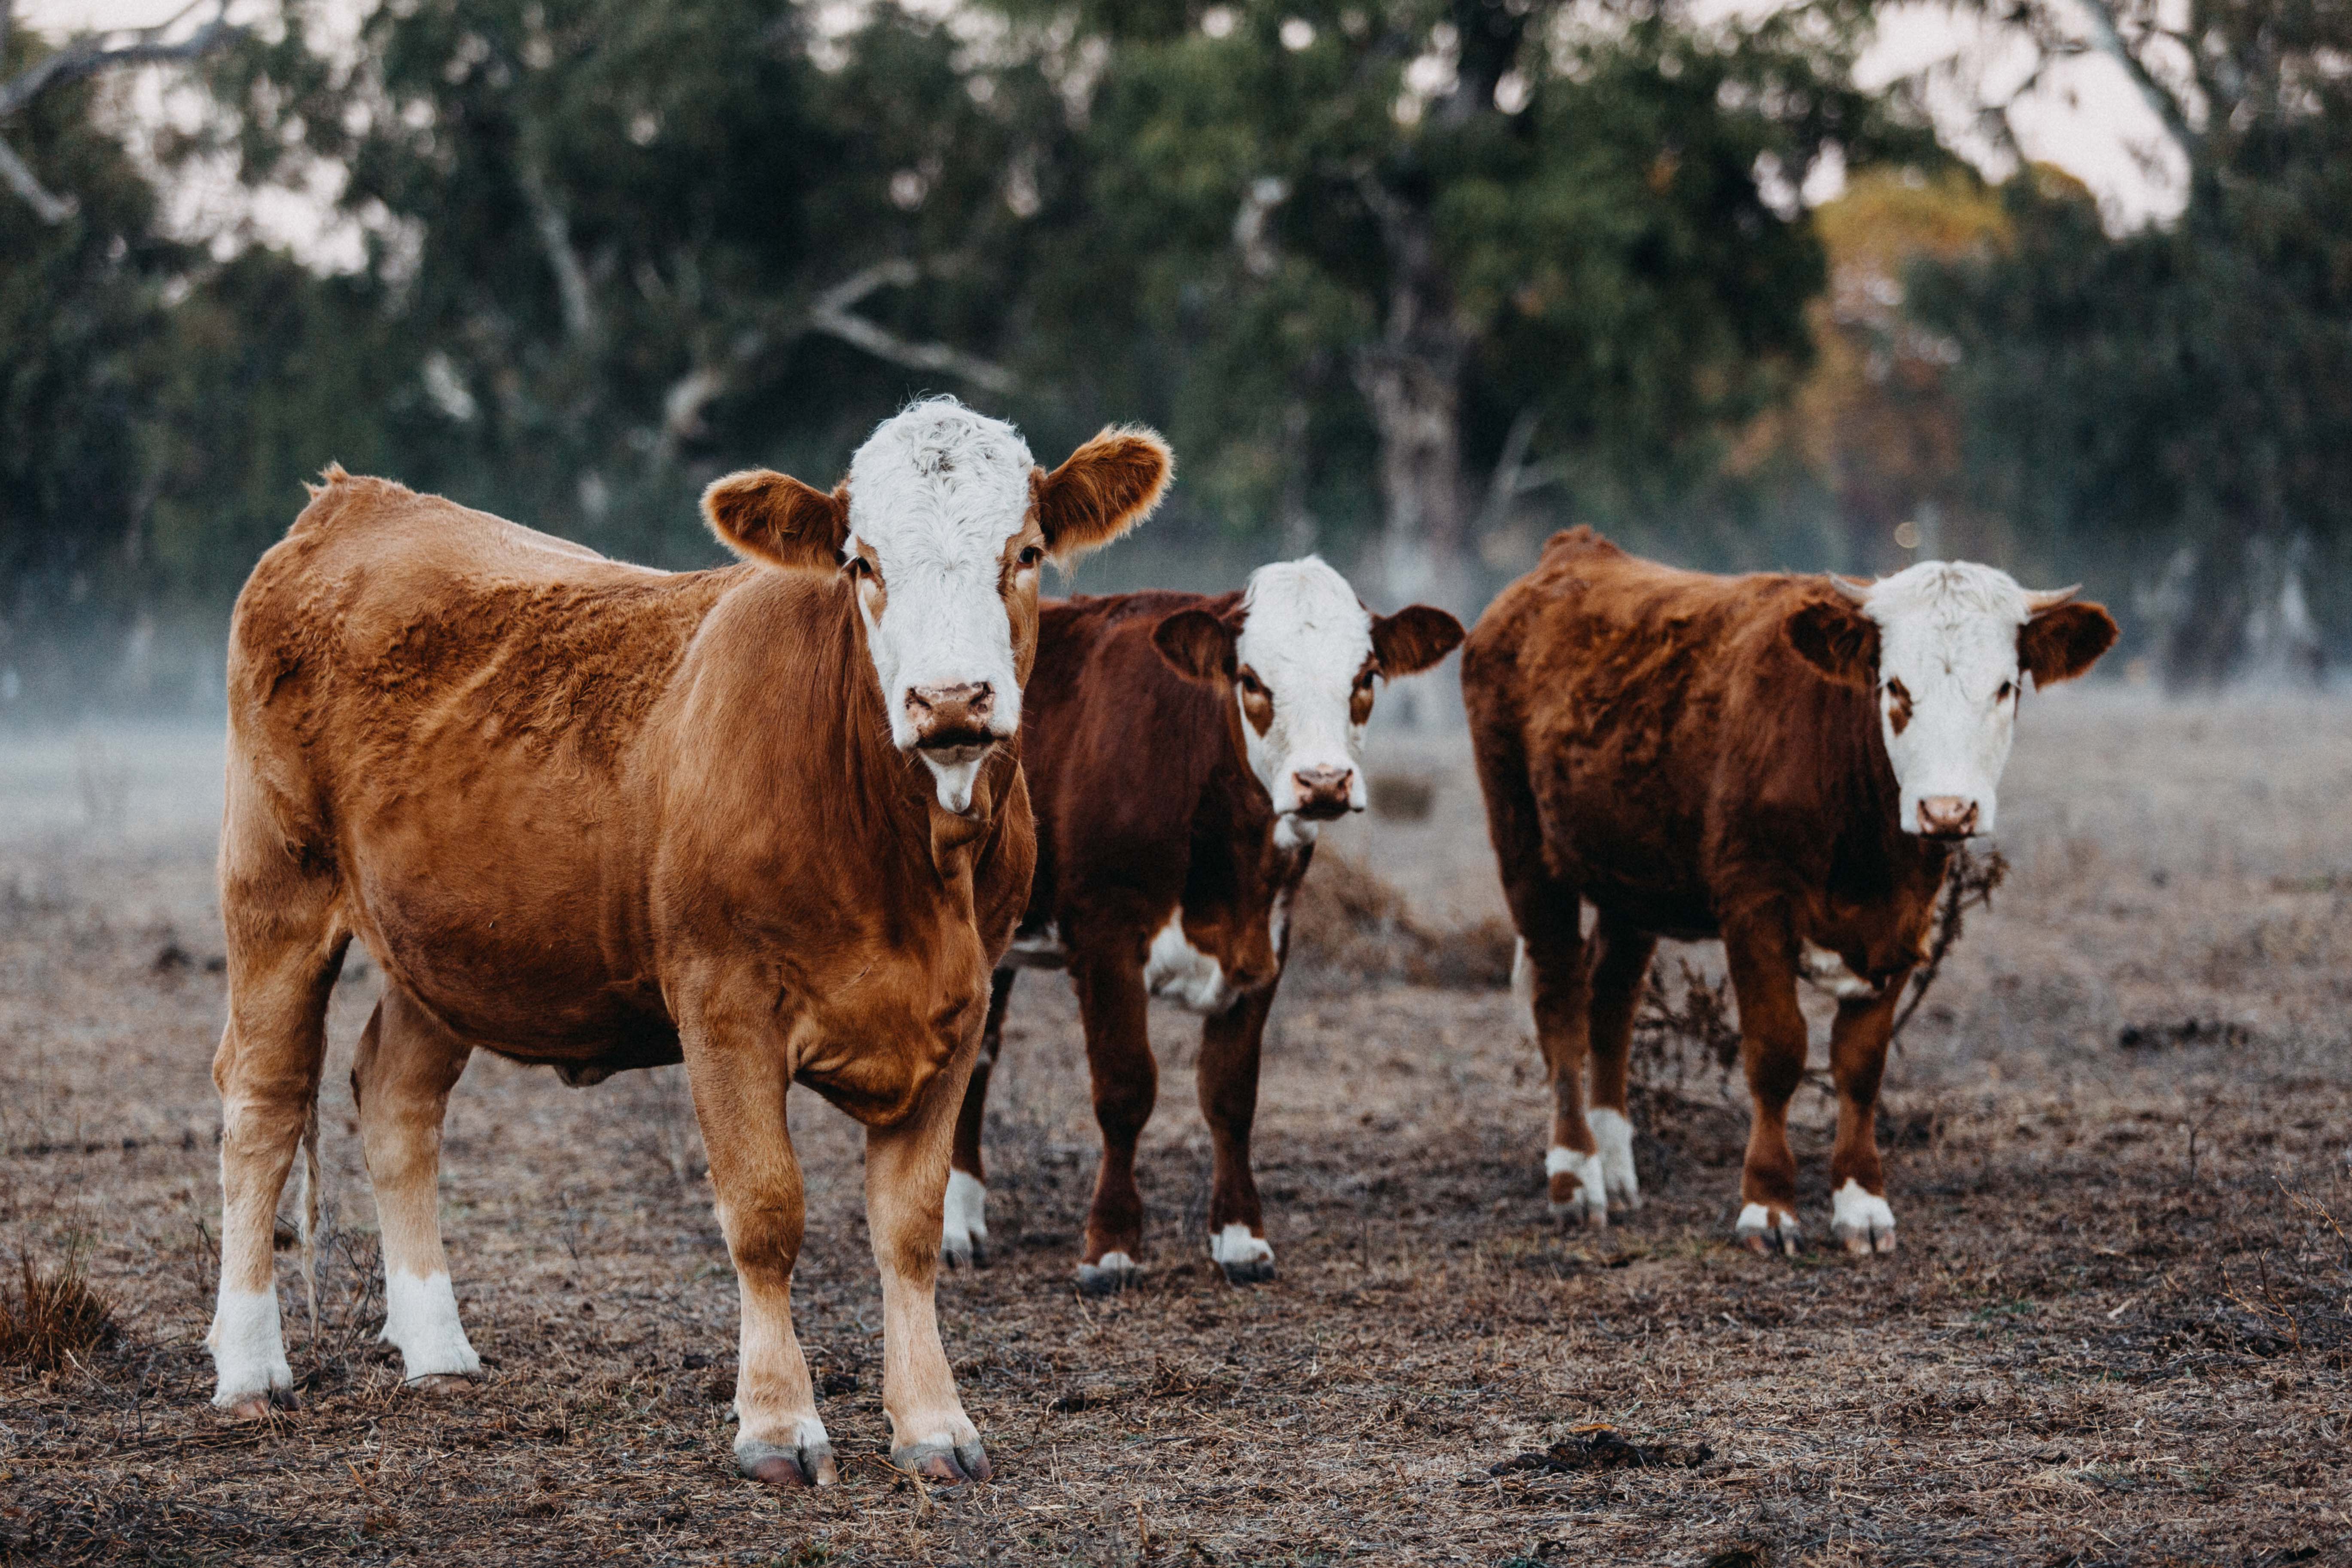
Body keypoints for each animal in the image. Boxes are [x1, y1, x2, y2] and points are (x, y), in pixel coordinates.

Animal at [203, 398, 1168, 1489]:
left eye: (1028, 551)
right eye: (861, 560)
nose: (951, 700)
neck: (907, 869)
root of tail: (355, 499)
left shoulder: (961, 1007)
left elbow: (910, 1226)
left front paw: (932, 1421)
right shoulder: (723, 1003)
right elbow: (764, 1213)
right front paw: (778, 1423)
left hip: (443, 944)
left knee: (398, 1097)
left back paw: (437, 1349)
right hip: (275, 890)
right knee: (264, 1103)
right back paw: (250, 1366)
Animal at [943, 560, 1463, 1292]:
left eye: (1365, 676)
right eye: (1251, 680)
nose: (1323, 781)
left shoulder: (1267, 939)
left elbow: (1231, 1094)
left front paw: (1242, 1237)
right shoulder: (1105, 935)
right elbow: (1125, 1089)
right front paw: (1110, 1247)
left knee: (980, 1053)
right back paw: (951, 1227)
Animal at [1462, 529, 2115, 1255]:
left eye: (2004, 687)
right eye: (1894, 686)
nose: (1947, 810)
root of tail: (1571, 552)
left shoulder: (1901, 921)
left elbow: (1860, 1065)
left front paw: (1862, 1204)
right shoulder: (1753, 905)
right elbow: (1777, 1052)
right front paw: (1768, 1205)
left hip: (1629, 879)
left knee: (1612, 1001)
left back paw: (1617, 1168)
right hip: (1525, 846)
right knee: (1560, 1000)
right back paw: (1576, 1179)